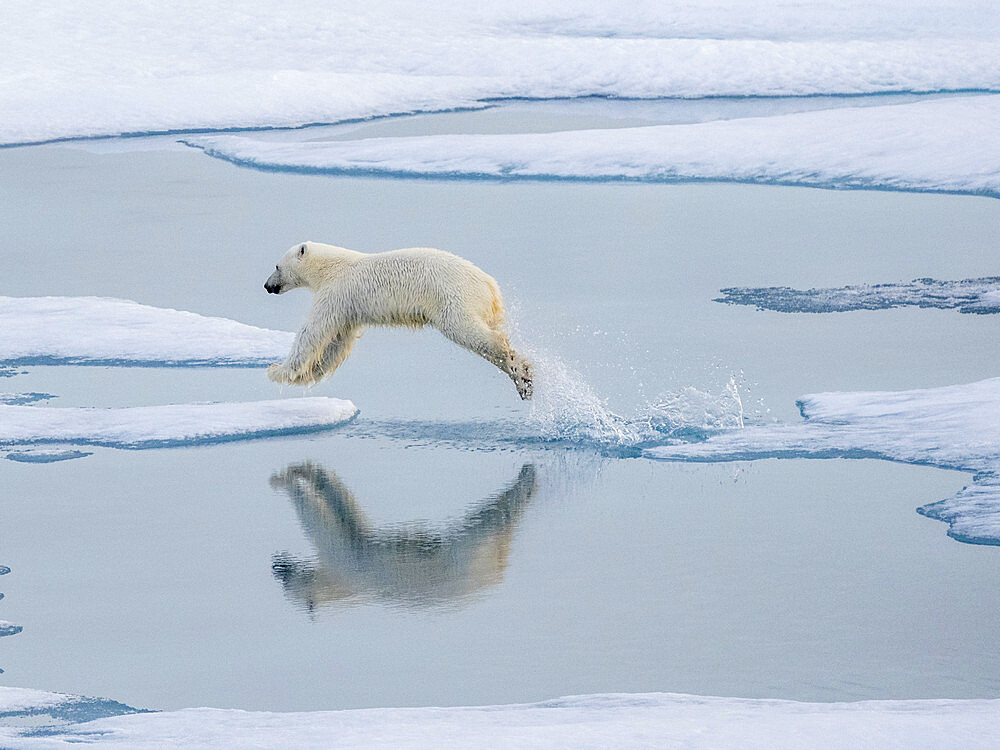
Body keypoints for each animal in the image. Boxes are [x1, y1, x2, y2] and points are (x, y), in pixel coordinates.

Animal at [264, 244, 532, 402]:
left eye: (277, 266)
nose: (267, 286)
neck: (330, 266)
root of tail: (490, 285)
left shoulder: (336, 292)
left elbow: (313, 331)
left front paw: (278, 370)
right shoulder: (351, 309)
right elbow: (336, 342)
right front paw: (309, 373)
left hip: (454, 298)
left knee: (472, 333)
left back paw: (522, 373)